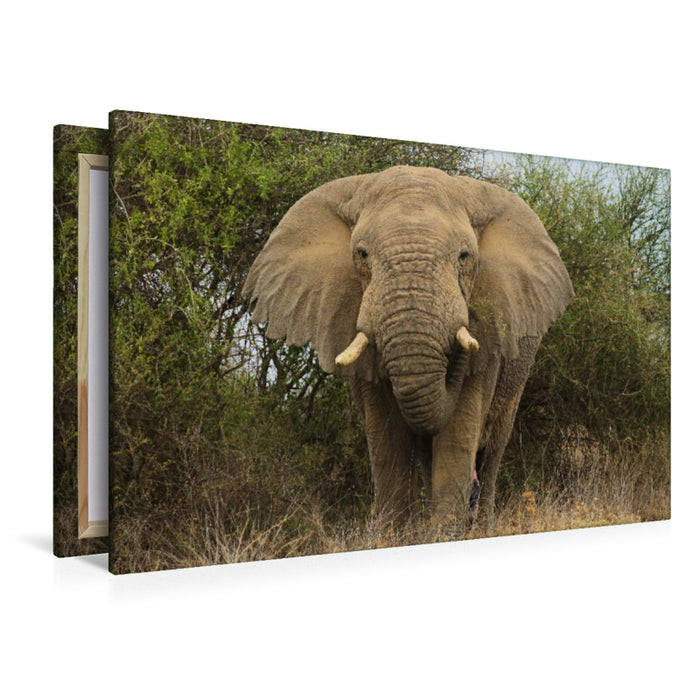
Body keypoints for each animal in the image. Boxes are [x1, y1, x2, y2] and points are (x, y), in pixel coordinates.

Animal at [243, 165, 573, 527]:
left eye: (464, 256)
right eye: (361, 254)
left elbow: (458, 438)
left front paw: (443, 533)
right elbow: (387, 442)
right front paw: (395, 533)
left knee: (492, 449)